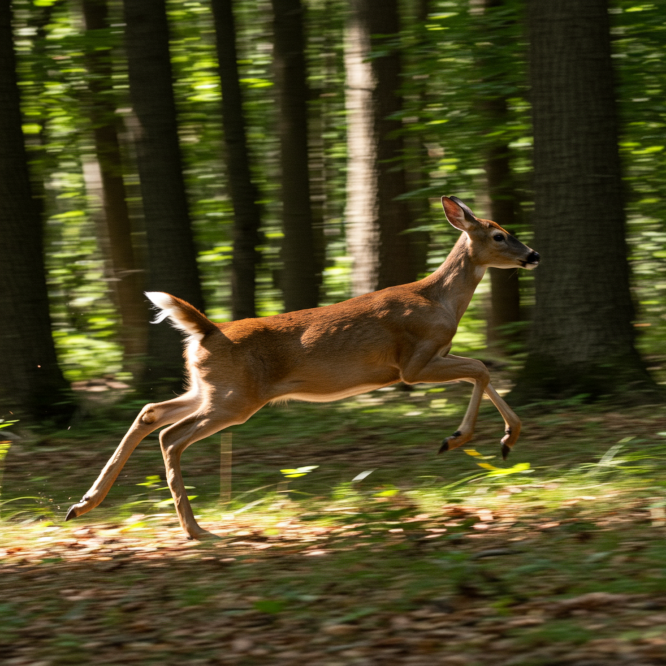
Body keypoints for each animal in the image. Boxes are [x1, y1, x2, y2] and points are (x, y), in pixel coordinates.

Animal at [65, 195, 536, 536]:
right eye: (499, 235)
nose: (532, 254)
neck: (440, 302)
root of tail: (208, 331)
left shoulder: (425, 361)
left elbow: (481, 370)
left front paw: (506, 439)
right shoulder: (412, 363)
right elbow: (480, 367)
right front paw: (459, 438)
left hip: (209, 387)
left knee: (150, 413)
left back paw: (84, 505)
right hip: (235, 399)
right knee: (170, 436)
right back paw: (195, 530)